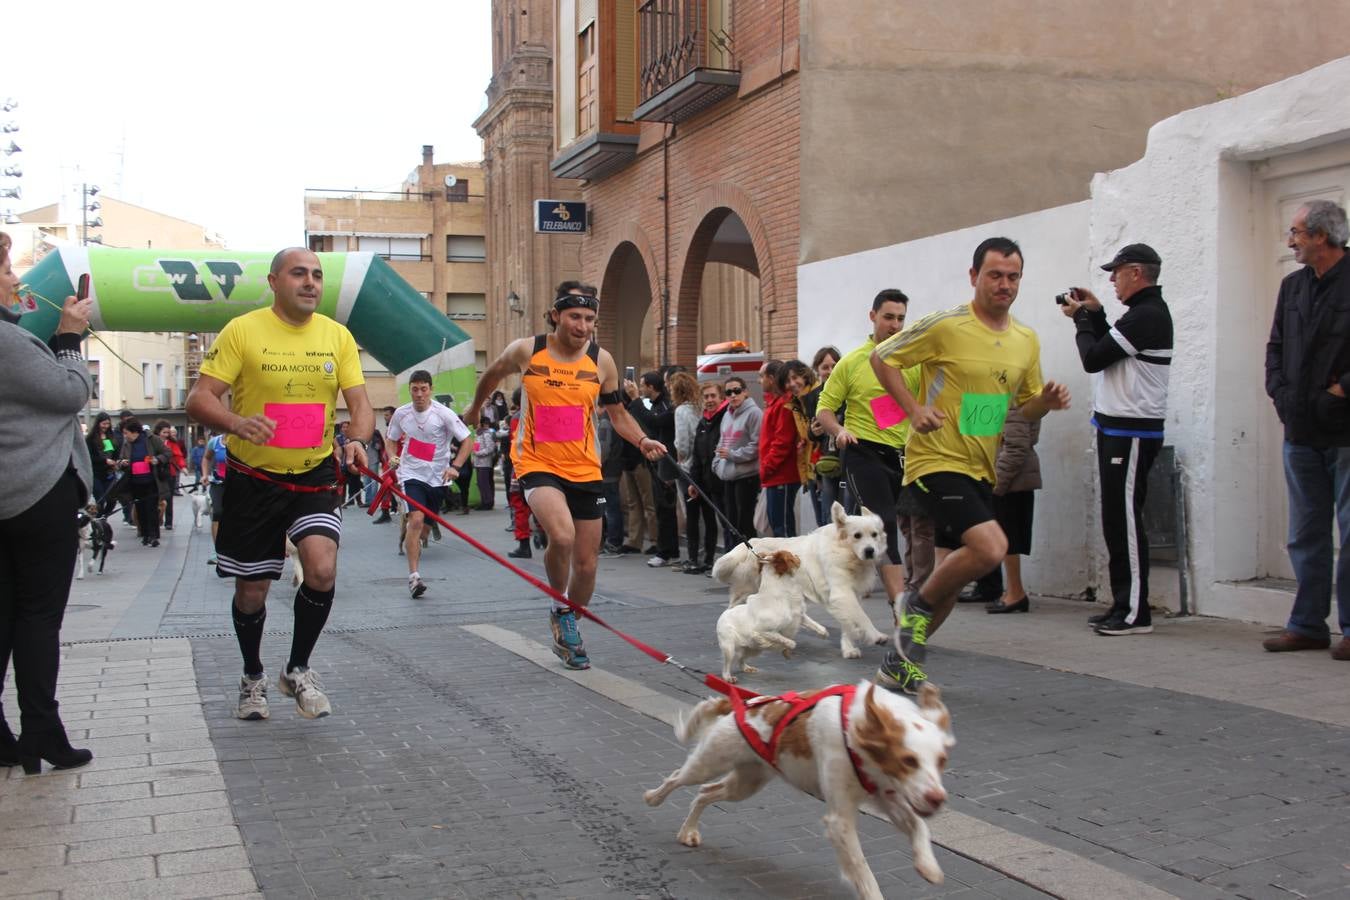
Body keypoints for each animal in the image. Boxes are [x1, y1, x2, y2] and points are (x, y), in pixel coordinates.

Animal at [639, 682, 950, 900]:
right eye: (908, 760)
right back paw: (654, 798)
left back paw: (688, 831)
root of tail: (742, 703)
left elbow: (920, 826)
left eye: (942, 760)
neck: (856, 728)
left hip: (746, 783)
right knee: (677, 778)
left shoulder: (890, 798)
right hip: (709, 763)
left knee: (705, 792)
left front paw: (928, 866)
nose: (938, 800)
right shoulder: (839, 820)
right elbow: (862, 870)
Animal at [712, 504, 891, 658]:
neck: (847, 554)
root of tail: (751, 543)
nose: (870, 551)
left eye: (874, 534)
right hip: (745, 592)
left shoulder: (851, 594)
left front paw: (849, 648)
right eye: (857, 535)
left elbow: (850, 620)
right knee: (732, 611)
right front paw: (876, 636)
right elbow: (862, 617)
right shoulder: (842, 593)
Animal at [718, 550, 831, 682]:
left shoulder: (799, 616)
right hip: (729, 647)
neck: (783, 595)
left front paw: (824, 634)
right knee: (727, 665)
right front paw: (781, 648)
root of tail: (725, 613)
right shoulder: (764, 630)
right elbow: (789, 642)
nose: (797, 555)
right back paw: (728, 677)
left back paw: (747, 668)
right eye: (791, 556)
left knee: (741, 659)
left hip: (753, 650)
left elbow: (817, 626)